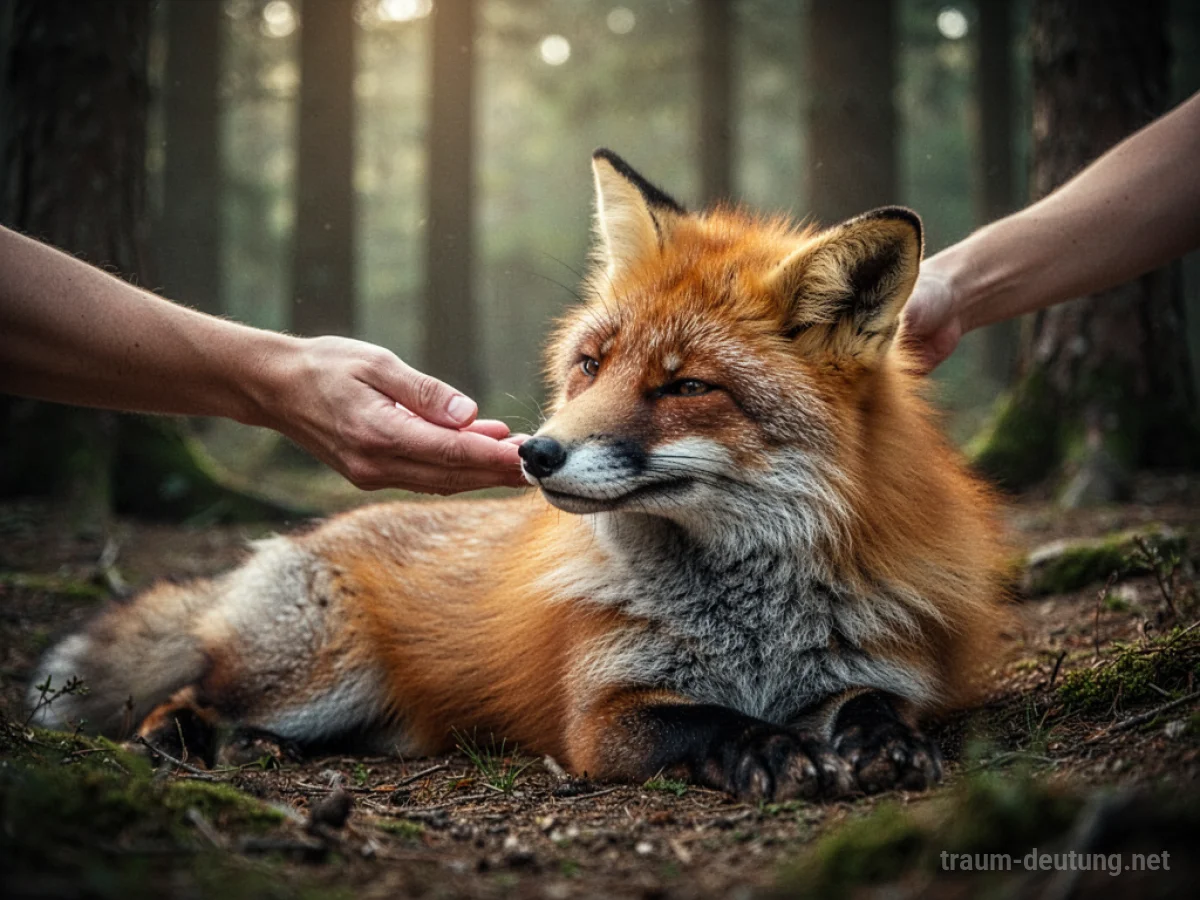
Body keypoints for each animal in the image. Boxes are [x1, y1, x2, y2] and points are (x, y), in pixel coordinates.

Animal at [28, 150, 1011, 802]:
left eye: (686, 387)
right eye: (589, 365)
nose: (537, 452)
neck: (750, 622)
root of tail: (299, 536)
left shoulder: (883, 665)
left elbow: (877, 706)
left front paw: (884, 744)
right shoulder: (602, 714)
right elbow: (711, 719)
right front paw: (774, 750)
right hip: (320, 673)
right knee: (192, 692)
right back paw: (187, 743)